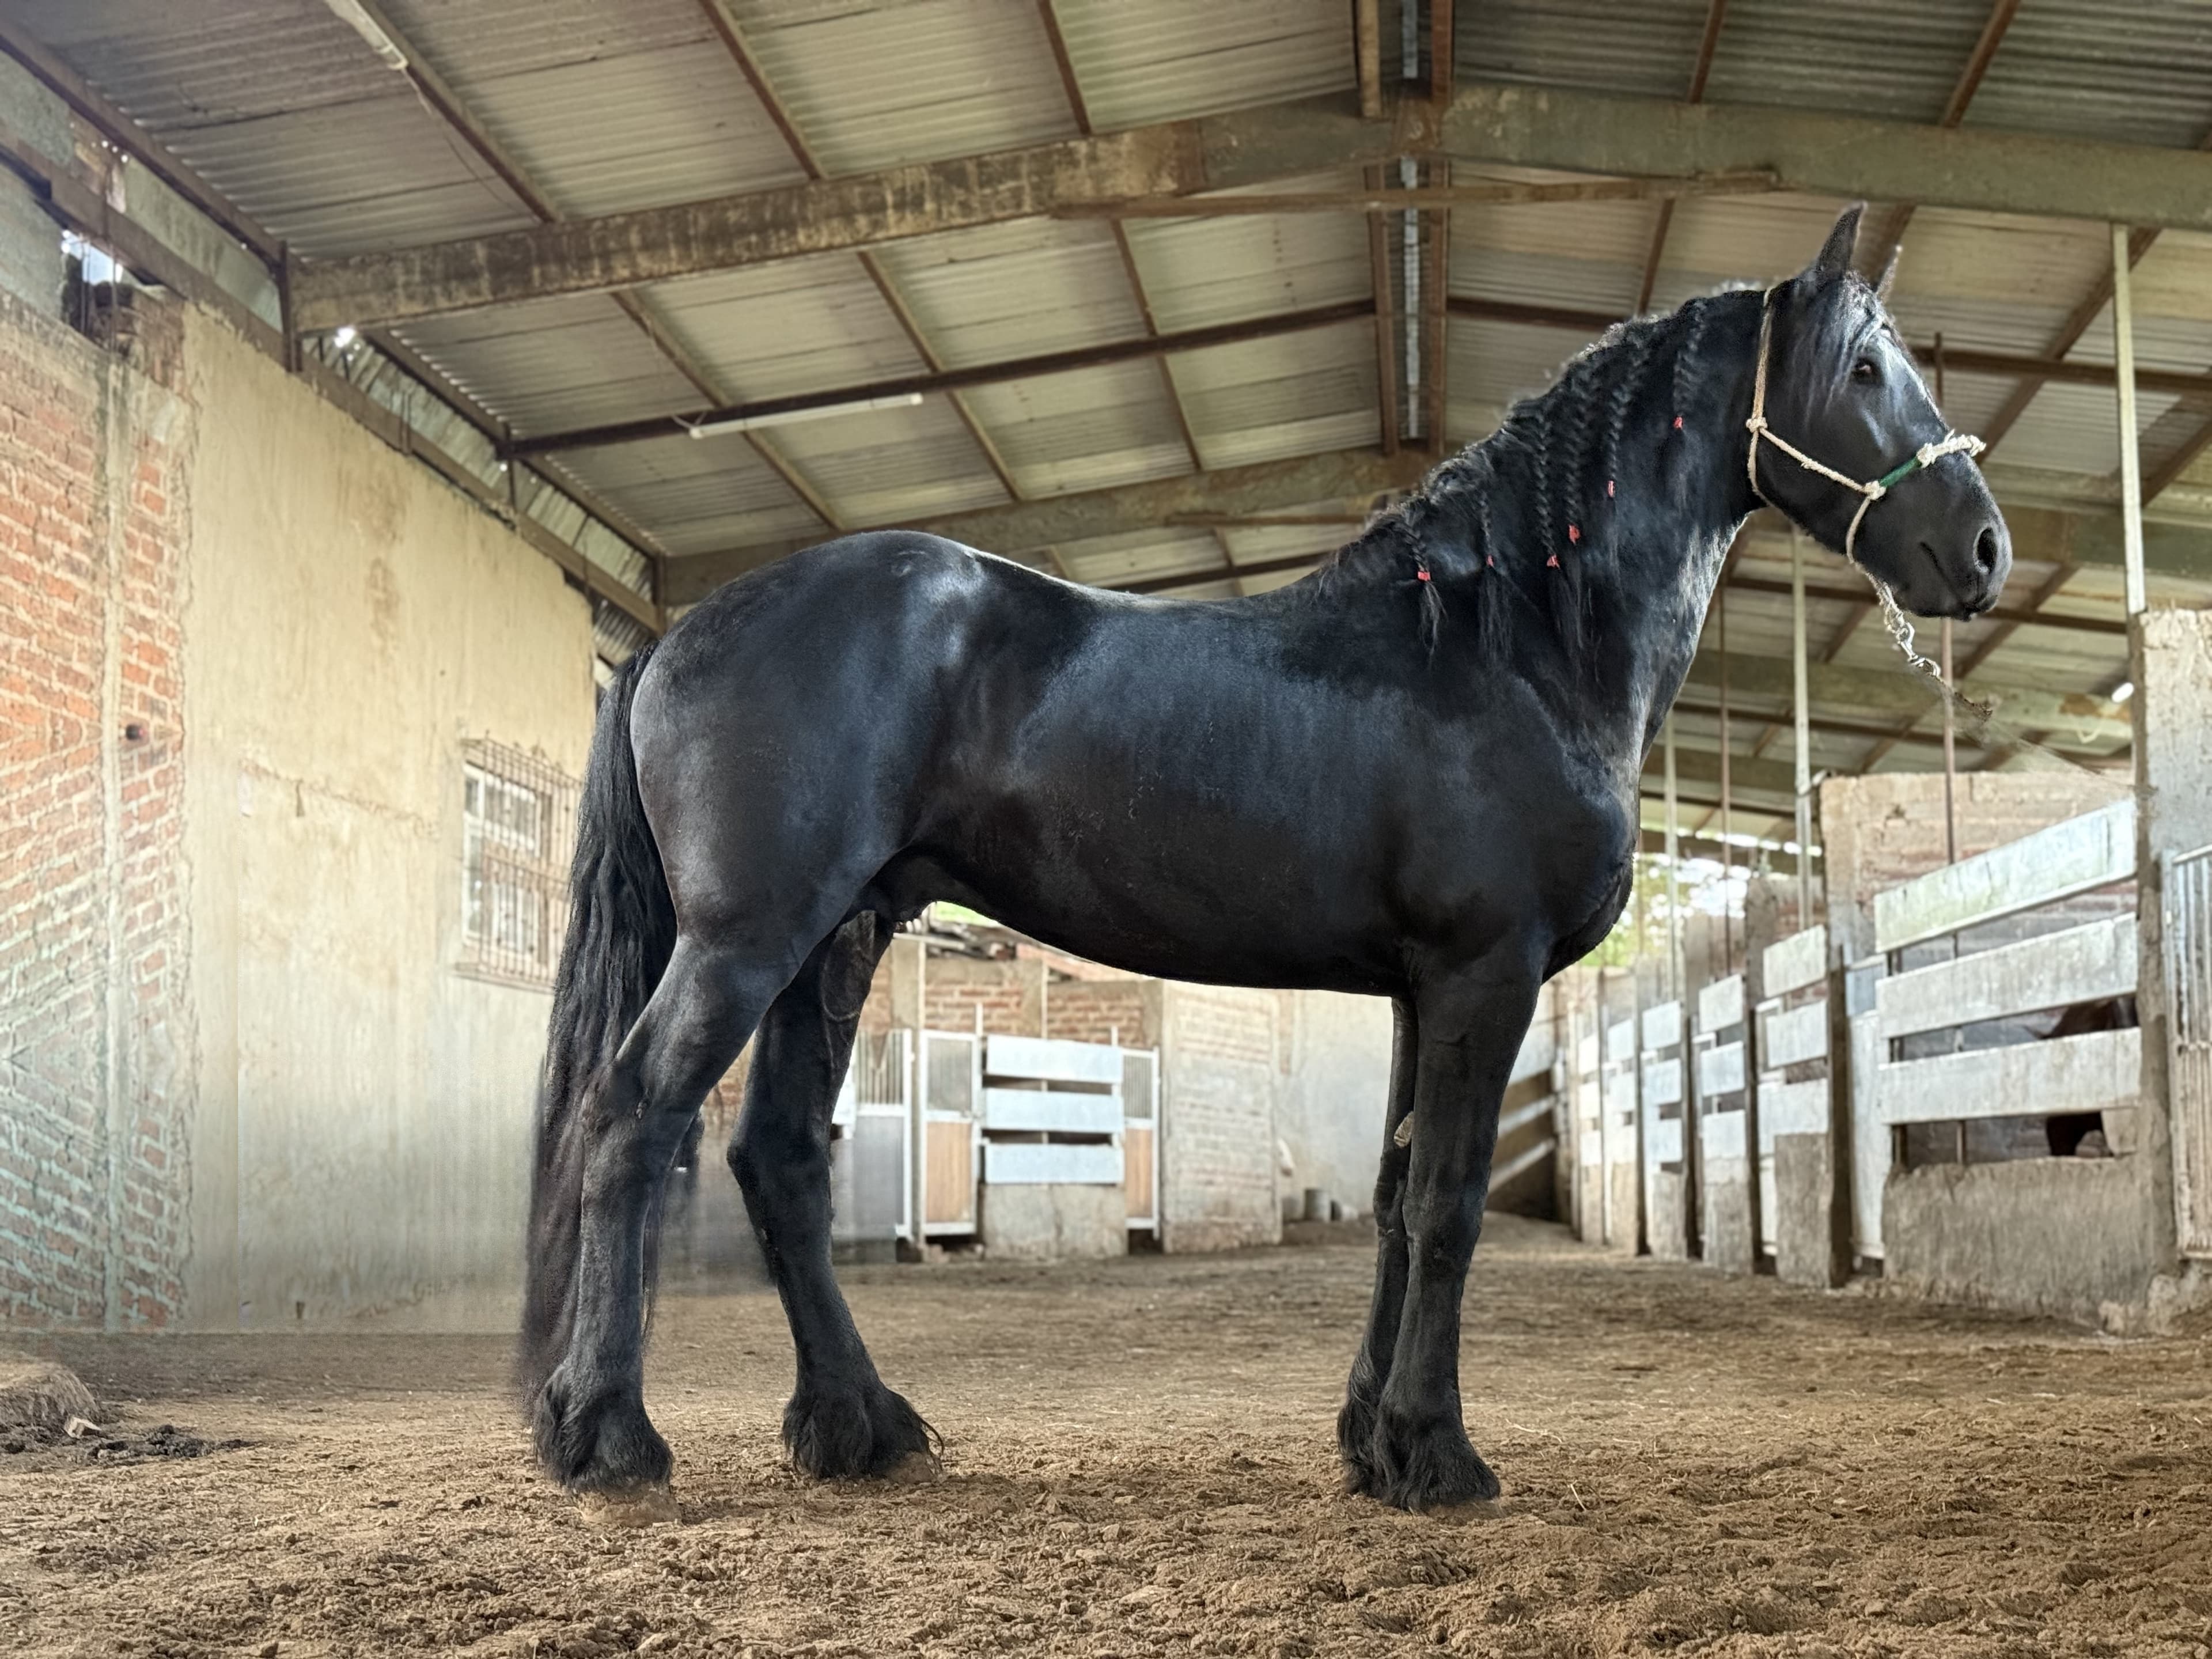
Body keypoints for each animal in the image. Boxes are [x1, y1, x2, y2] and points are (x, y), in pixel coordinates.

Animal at [518, 204, 2009, 1520]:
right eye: (1864, 368)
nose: (1981, 548)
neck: (1507, 643)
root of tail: (675, 630)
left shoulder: (1423, 986)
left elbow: (1398, 1196)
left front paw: (1372, 1442)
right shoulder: (1487, 974)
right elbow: (1453, 1205)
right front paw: (1438, 1454)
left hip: (838, 941)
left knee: (777, 1157)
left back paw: (859, 1430)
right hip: (748, 940)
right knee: (630, 1119)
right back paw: (611, 1438)